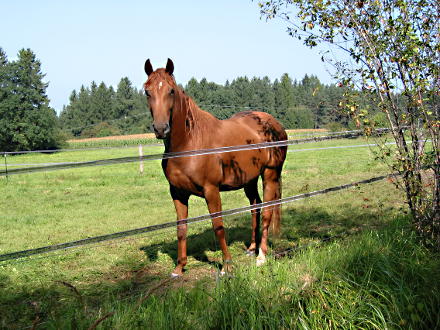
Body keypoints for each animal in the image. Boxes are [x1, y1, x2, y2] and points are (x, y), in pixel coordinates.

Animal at [144, 58, 288, 276]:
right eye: (147, 91)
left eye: (171, 91)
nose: (161, 129)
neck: (190, 143)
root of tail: (273, 123)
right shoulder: (177, 193)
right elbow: (181, 228)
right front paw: (179, 267)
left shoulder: (211, 190)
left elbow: (218, 226)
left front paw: (226, 266)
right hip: (249, 179)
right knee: (255, 207)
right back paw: (252, 248)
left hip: (270, 174)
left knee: (267, 211)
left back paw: (261, 256)